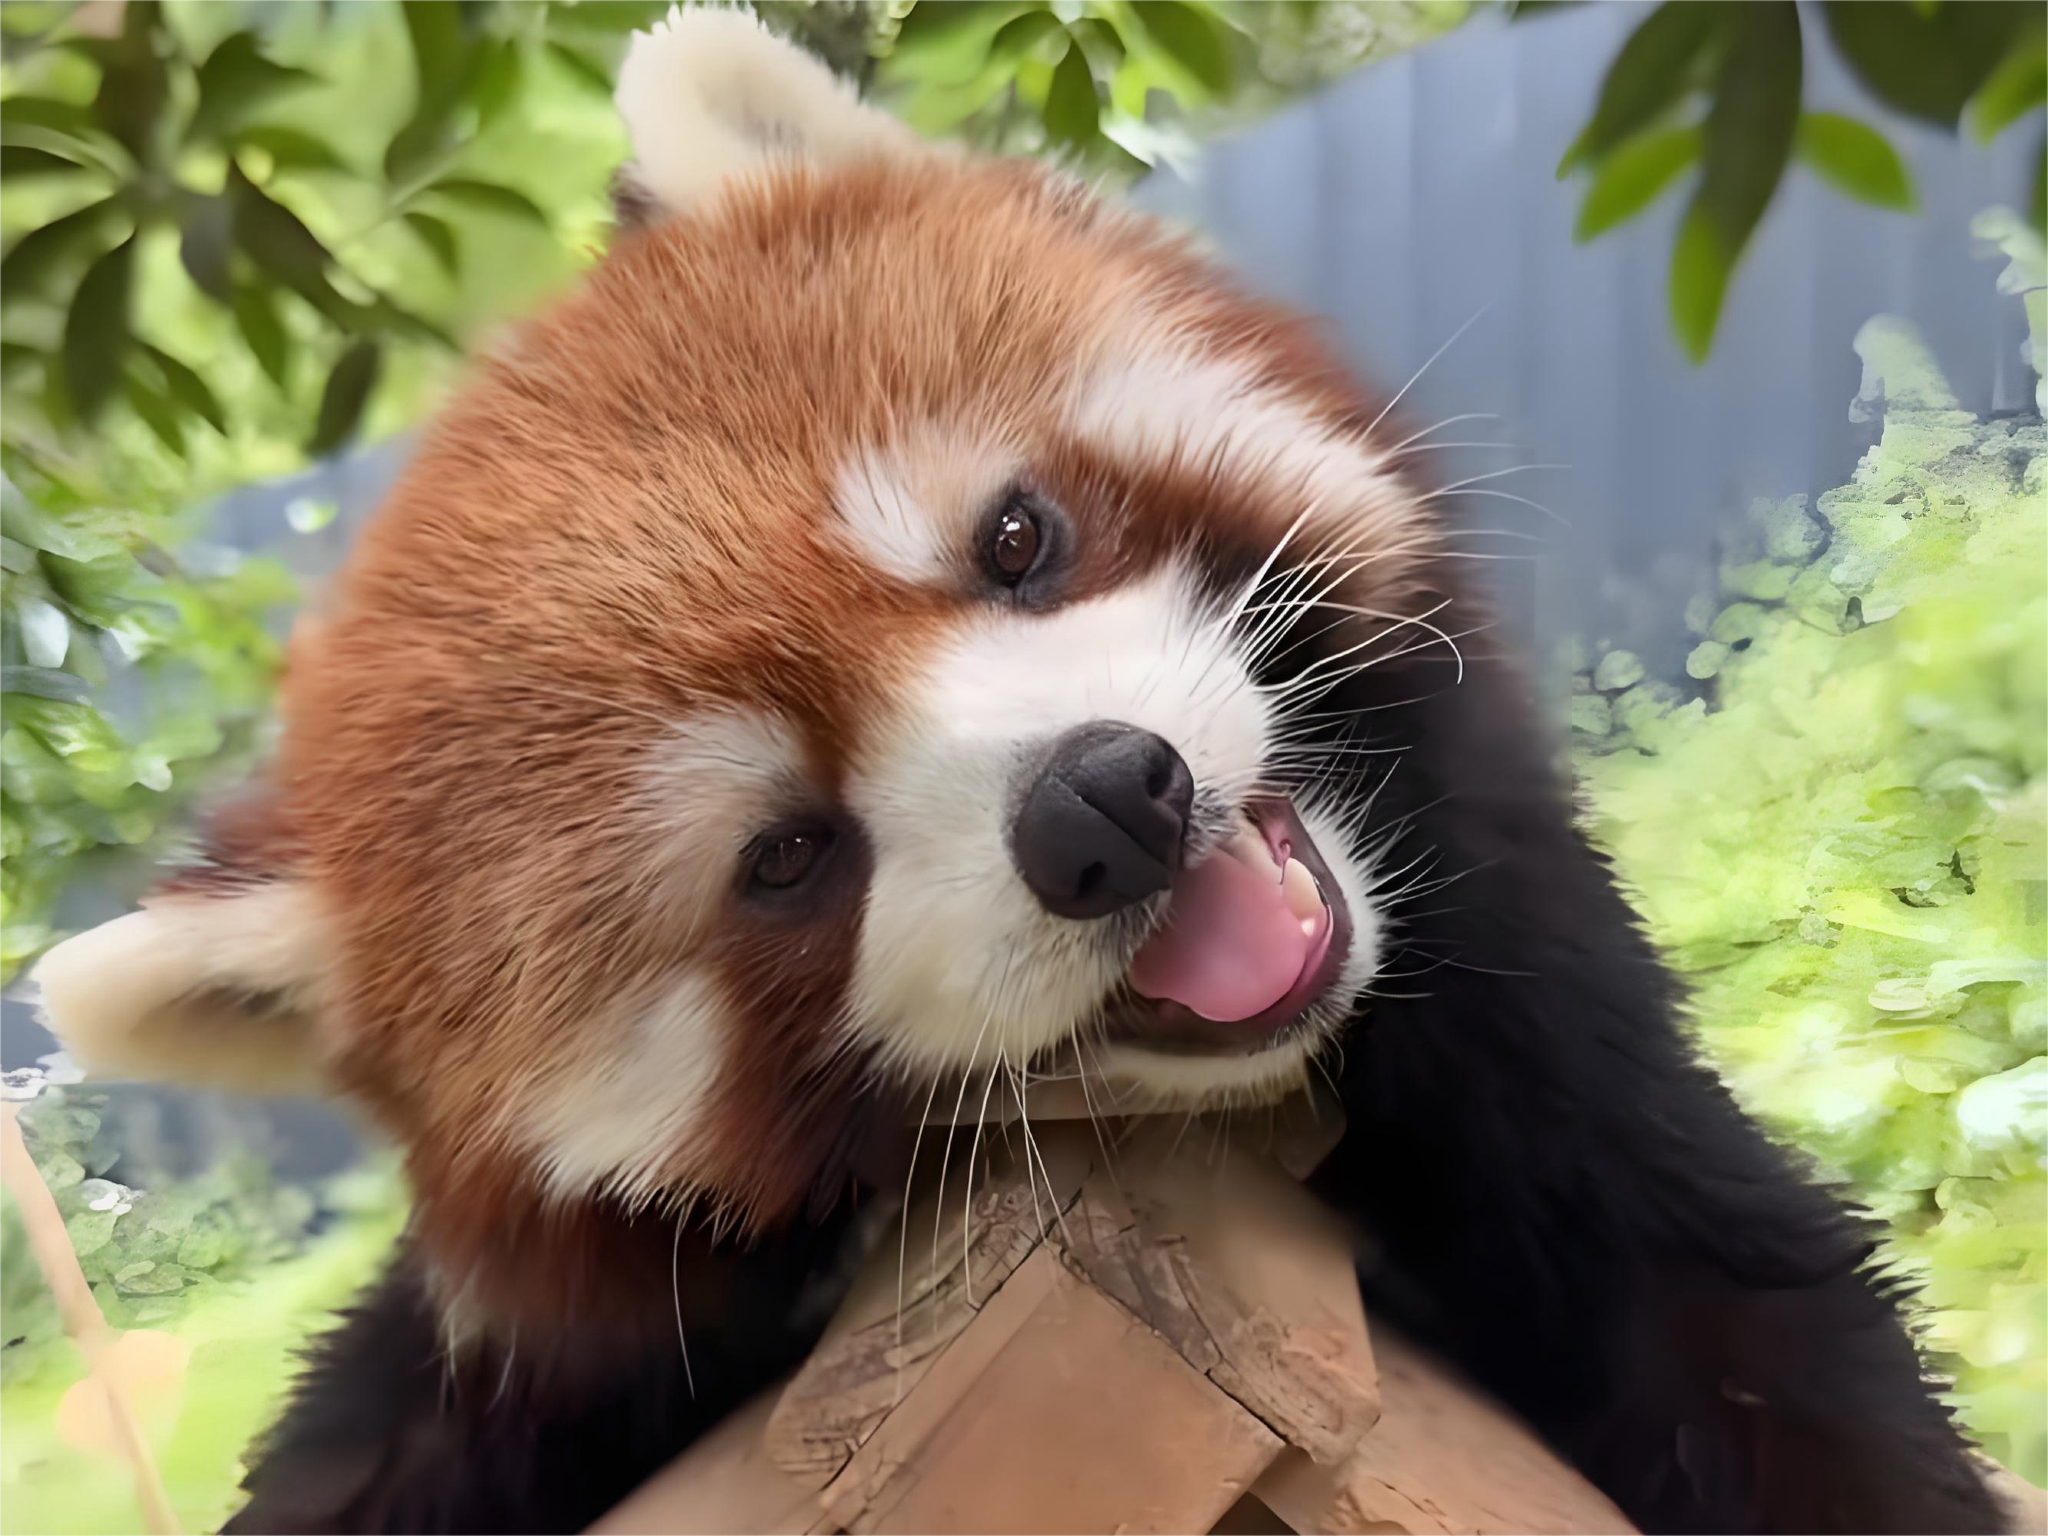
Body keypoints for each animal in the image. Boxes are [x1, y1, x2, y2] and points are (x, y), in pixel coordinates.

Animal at [31, 9, 2009, 1534]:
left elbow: (1755, 1324)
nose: (1102, 802)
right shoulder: (534, 1339)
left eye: (1014, 540)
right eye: (783, 858)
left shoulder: (1545, 1031)